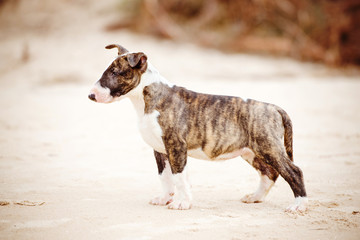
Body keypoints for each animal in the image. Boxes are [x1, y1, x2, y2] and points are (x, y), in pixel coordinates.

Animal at [88, 44, 308, 213]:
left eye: (115, 72)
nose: (91, 95)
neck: (148, 98)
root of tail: (274, 108)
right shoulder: (160, 150)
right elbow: (165, 177)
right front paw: (165, 198)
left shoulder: (176, 146)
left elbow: (179, 176)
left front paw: (182, 203)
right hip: (251, 151)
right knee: (269, 173)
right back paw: (255, 197)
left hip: (268, 146)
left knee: (293, 171)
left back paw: (299, 205)